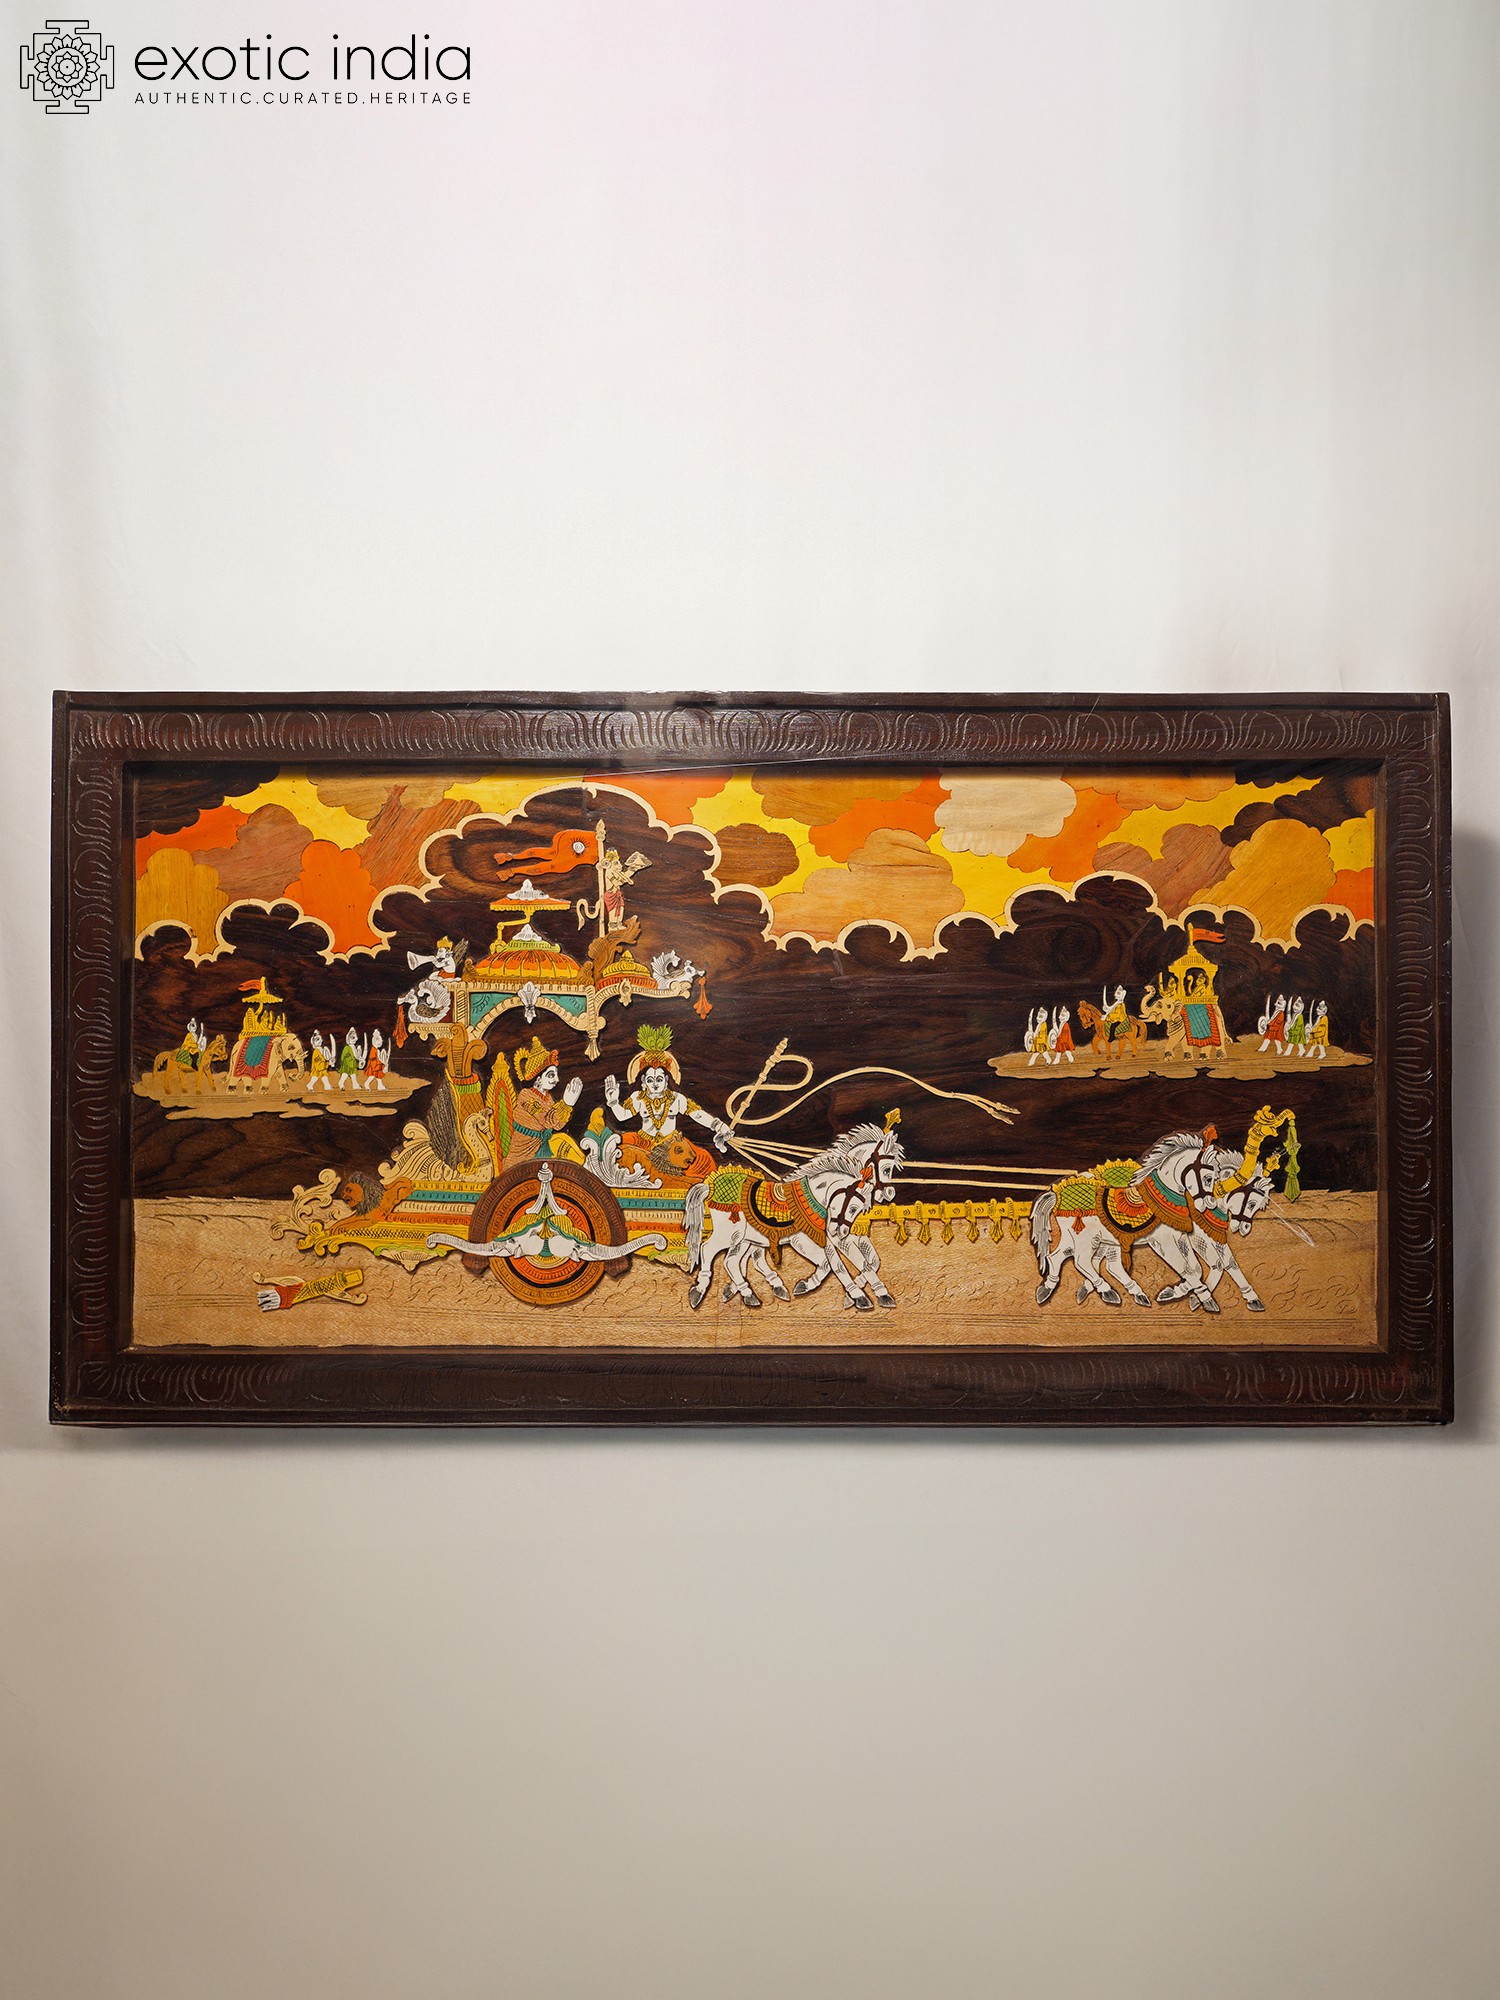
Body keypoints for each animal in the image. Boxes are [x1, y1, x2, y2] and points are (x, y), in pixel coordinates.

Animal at [684, 1120, 905, 1312]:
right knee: (709, 1250)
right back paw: (699, 1292)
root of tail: (710, 1186)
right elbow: (837, 1265)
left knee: (735, 1261)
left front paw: (864, 1294)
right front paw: (861, 1296)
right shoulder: (809, 1240)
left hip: (744, 1239)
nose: (889, 1193)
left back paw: (751, 1292)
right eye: (886, 1169)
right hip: (730, 1234)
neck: (816, 1197)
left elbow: (868, 1262)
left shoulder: (845, 1236)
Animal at [1029, 1130, 1271, 1314]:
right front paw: (1203, 1298)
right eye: (1208, 1178)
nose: (1245, 1227)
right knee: (1082, 1261)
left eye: (1258, 1206)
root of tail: (1057, 1193)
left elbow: (1212, 1266)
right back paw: (1107, 1291)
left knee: (1063, 1258)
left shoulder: (1185, 1236)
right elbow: (1202, 1267)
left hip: (1092, 1237)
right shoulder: (1168, 1240)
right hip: (1087, 1237)